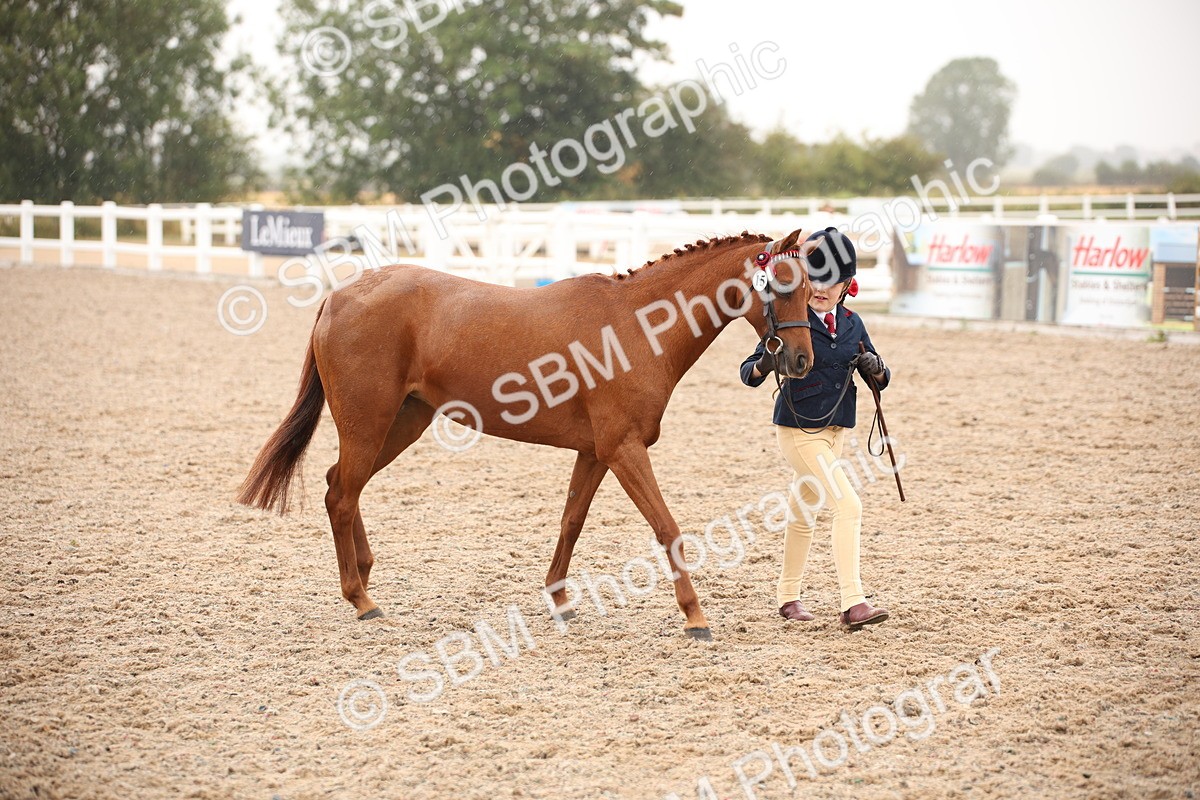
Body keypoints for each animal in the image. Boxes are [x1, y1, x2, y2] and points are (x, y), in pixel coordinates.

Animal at [237, 229, 819, 640]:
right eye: (781, 287)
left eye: (813, 287)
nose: (801, 361)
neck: (634, 326)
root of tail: (341, 295)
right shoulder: (624, 450)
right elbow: (667, 528)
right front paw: (695, 618)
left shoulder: (596, 453)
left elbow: (571, 522)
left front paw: (559, 600)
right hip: (370, 423)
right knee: (341, 493)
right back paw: (361, 599)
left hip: (401, 424)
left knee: (343, 485)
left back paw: (364, 576)